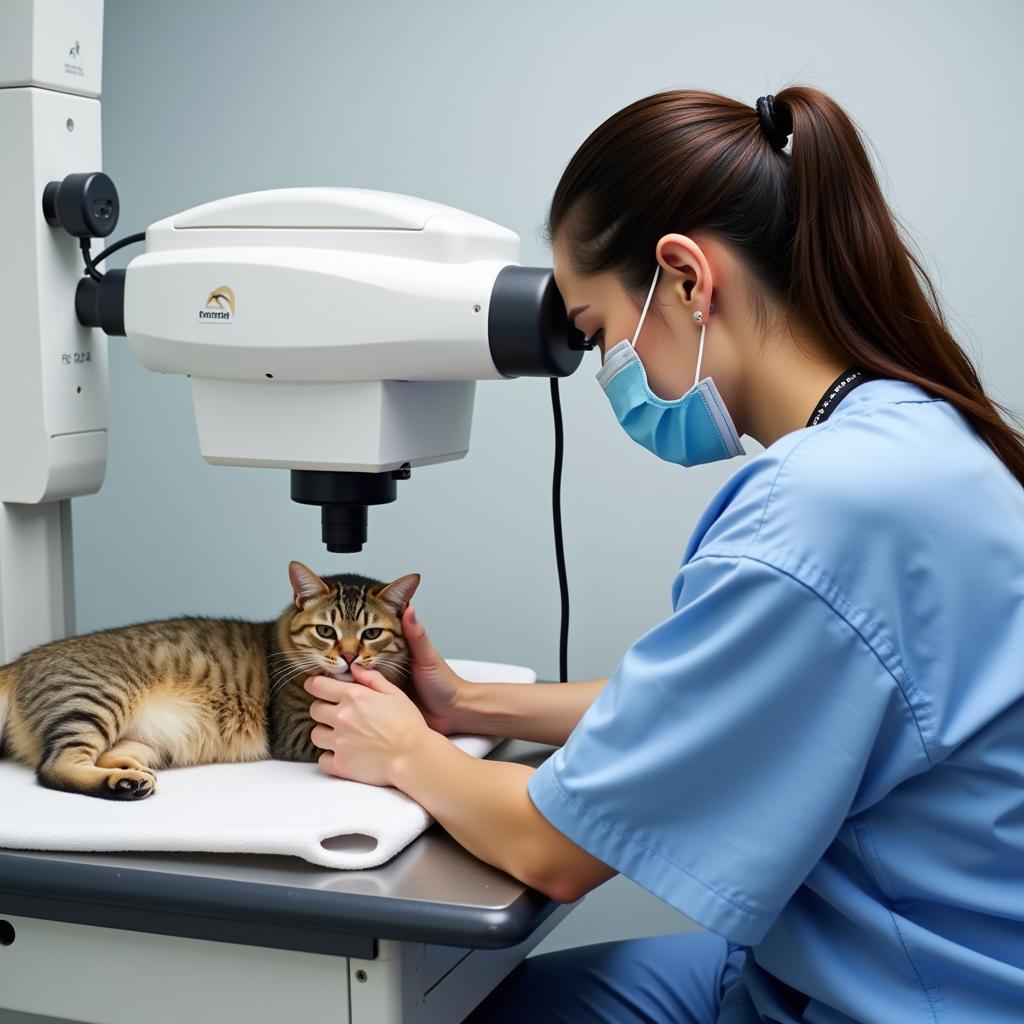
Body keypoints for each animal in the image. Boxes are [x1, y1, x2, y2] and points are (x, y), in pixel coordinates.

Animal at [0, 561, 419, 798]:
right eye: (326, 631)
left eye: (371, 634)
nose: (349, 657)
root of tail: (21, 661)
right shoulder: (299, 732)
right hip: (95, 700)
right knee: (53, 768)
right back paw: (118, 785)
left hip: (144, 742)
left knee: (105, 756)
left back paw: (128, 777)